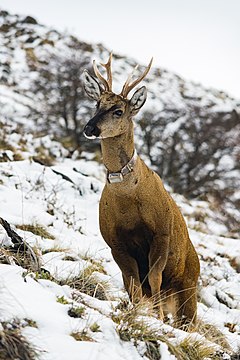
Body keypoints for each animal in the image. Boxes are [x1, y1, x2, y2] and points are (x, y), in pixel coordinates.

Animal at [82, 53, 201, 330]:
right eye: (97, 104)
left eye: (118, 110)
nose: (90, 128)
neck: (128, 197)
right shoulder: (115, 242)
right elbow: (134, 283)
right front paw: (137, 312)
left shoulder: (161, 232)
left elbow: (155, 276)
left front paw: (156, 318)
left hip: (188, 288)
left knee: (188, 320)